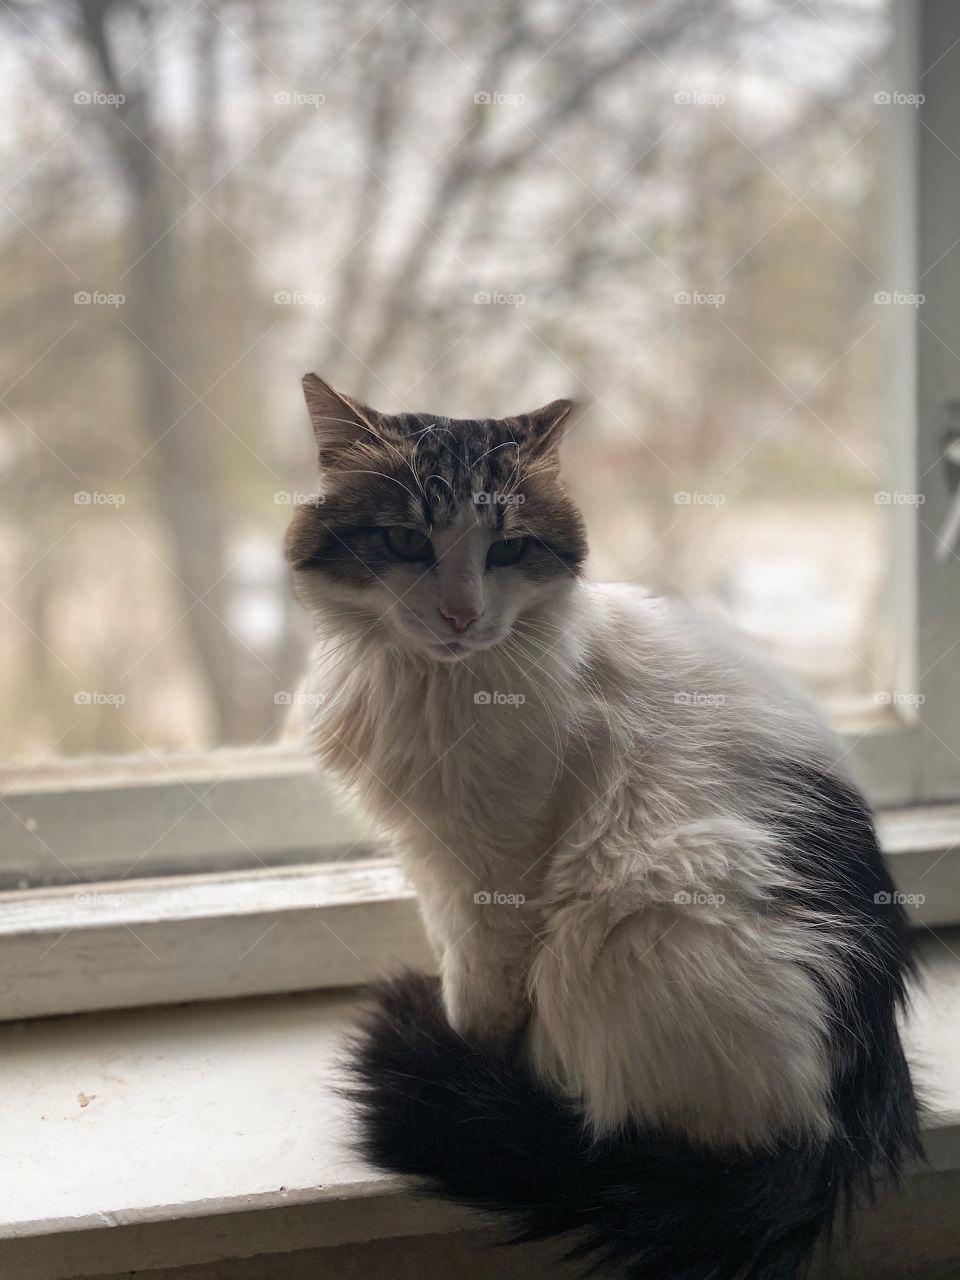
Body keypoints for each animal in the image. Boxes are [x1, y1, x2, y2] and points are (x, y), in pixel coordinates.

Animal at [288, 373, 926, 1280]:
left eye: (508, 550)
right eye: (406, 541)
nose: (460, 614)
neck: (433, 685)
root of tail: (835, 1130)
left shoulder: (493, 869)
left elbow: (479, 993)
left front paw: (468, 1067)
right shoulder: (433, 860)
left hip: (635, 917)